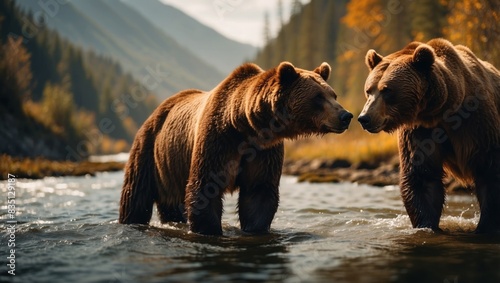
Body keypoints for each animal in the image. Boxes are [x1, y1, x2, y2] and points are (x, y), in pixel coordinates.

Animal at [119, 61, 354, 235]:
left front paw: (255, 228)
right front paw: (209, 230)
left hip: (171, 168)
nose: (346, 115)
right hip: (149, 152)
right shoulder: (218, 142)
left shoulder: (263, 151)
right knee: (135, 196)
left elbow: (258, 193)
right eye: (318, 97)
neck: (244, 125)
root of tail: (156, 111)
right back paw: (130, 220)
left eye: (333, 94)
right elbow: (205, 188)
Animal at [358, 38, 500, 234]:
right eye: (368, 90)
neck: (442, 111)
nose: (364, 118)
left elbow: (489, 171)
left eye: (386, 90)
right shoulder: (420, 131)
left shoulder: (476, 124)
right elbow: (422, 177)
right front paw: (427, 225)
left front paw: (485, 227)